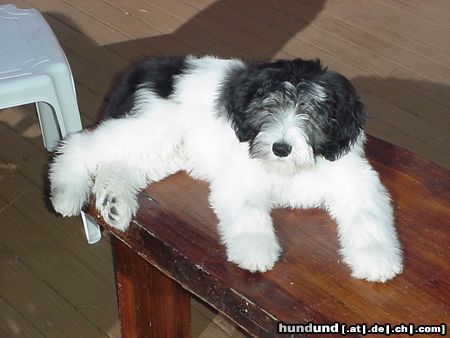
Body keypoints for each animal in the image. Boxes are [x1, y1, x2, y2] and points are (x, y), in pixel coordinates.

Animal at [50, 56, 404, 282]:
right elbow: (249, 212)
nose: (281, 147)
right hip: (152, 128)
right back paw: (66, 189)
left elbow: (368, 216)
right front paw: (255, 250)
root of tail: (146, 68)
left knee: (116, 164)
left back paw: (115, 204)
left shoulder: (356, 179)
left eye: (313, 112)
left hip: (164, 149)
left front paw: (377, 258)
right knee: (80, 144)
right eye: (268, 106)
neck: (291, 167)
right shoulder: (240, 178)